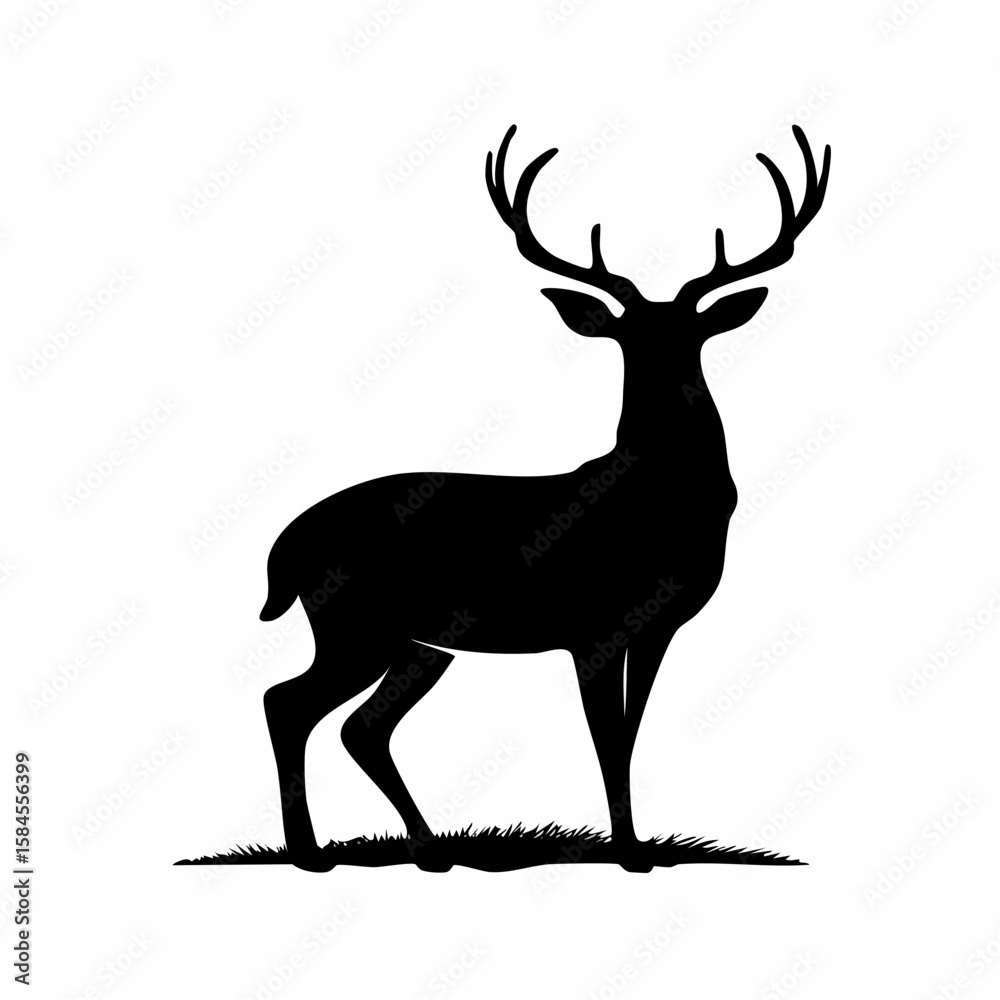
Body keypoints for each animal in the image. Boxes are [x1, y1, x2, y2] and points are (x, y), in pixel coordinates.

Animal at [260, 123, 830, 872]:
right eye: (627, 337)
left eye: (693, 333)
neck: (663, 507)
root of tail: (284, 546)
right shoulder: (591, 627)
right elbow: (606, 737)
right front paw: (630, 852)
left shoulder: (658, 627)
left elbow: (632, 732)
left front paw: (639, 843)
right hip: (353, 620)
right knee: (287, 702)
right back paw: (310, 852)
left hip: (417, 644)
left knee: (360, 726)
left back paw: (428, 848)